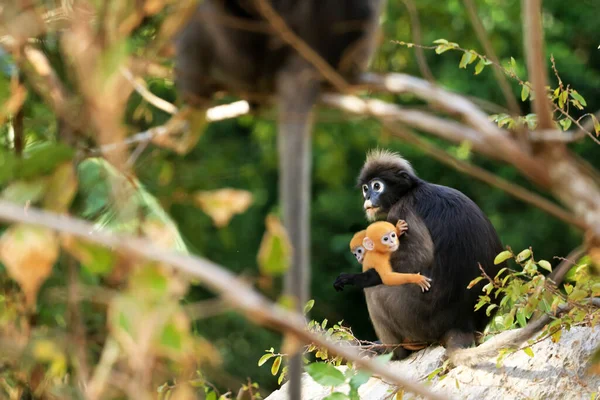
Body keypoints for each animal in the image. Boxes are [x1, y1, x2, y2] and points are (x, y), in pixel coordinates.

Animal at [336, 149, 508, 360]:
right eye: (365, 188)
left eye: (377, 186)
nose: (368, 197)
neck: (410, 191)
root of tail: (464, 324)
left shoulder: (403, 210)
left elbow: (419, 257)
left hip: (415, 318)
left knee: (374, 291)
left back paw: (394, 351)